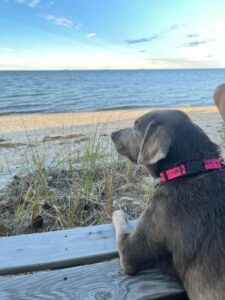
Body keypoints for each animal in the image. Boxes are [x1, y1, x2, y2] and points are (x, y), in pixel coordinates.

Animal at [111, 102, 225, 298]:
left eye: (135, 125)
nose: (112, 134)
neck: (189, 169)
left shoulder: (128, 253)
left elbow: (119, 221)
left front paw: (119, 211)